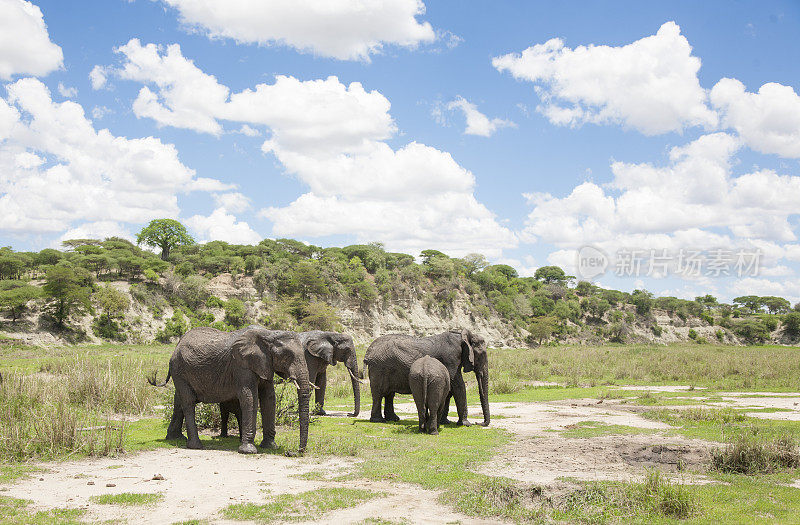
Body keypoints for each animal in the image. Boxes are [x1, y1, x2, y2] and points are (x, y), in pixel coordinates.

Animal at [150, 326, 310, 452]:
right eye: (287, 356)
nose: (294, 452)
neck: (269, 334)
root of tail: (177, 345)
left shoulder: (264, 364)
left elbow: (269, 398)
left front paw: (270, 447)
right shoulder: (241, 365)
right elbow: (249, 397)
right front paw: (248, 450)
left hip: (180, 372)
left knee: (179, 401)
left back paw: (175, 438)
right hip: (179, 369)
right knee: (188, 402)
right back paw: (196, 446)